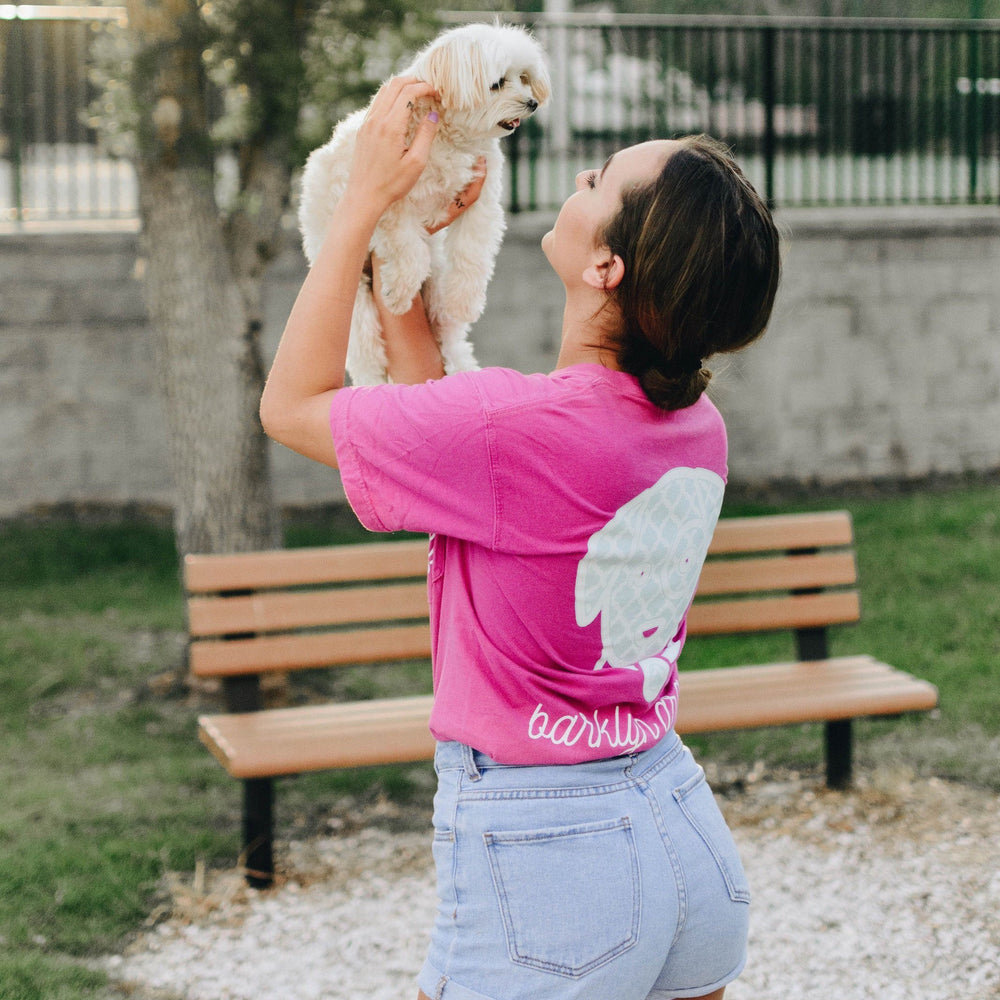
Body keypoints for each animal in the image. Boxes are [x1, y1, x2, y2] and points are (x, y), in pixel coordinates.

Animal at [298, 24, 548, 382]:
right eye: (498, 83)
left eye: (524, 77)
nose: (532, 103)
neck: (448, 137)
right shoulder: (388, 200)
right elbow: (408, 249)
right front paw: (399, 294)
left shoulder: (480, 202)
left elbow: (471, 254)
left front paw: (464, 301)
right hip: (355, 301)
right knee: (367, 356)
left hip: (436, 284)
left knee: (449, 338)